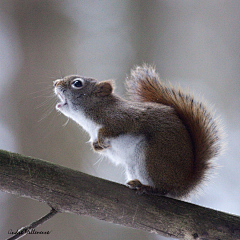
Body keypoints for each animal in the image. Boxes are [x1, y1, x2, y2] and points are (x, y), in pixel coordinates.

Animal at [53, 64, 222, 198]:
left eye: (77, 83)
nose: (55, 83)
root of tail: (182, 183)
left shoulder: (122, 118)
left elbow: (114, 129)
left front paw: (101, 138)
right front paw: (96, 145)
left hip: (152, 157)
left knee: (163, 189)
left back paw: (146, 187)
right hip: (133, 165)